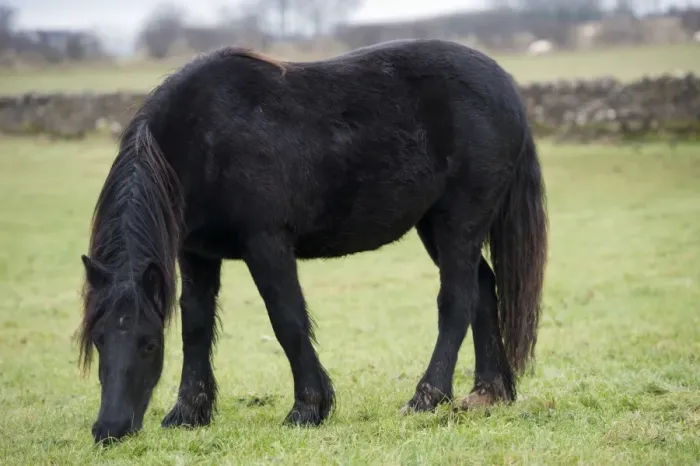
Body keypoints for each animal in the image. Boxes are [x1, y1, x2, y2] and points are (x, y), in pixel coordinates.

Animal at [76, 38, 548, 444]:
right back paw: (488, 393)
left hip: (458, 223)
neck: (207, 133)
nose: (110, 430)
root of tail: (504, 86)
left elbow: (287, 320)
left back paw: (426, 397)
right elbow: (196, 324)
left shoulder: (266, 245)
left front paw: (308, 408)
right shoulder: (196, 253)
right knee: (483, 289)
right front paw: (188, 413)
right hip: (435, 226)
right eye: (98, 339)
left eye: (149, 343)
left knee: (457, 302)